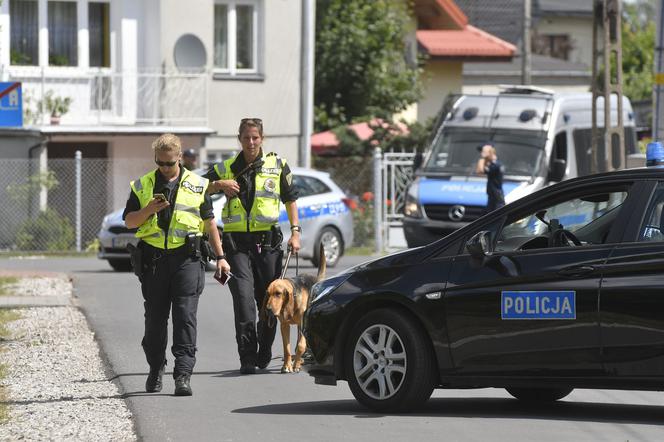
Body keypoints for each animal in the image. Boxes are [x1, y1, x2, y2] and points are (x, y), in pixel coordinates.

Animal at [264, 243, 326, 372]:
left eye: (278, 293)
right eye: (268, 294)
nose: (268, 309)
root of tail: (317, 279)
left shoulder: (303, 326)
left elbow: (301, 346)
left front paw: (296, 365)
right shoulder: (284, 326)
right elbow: (286, 348)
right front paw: (287, 366)